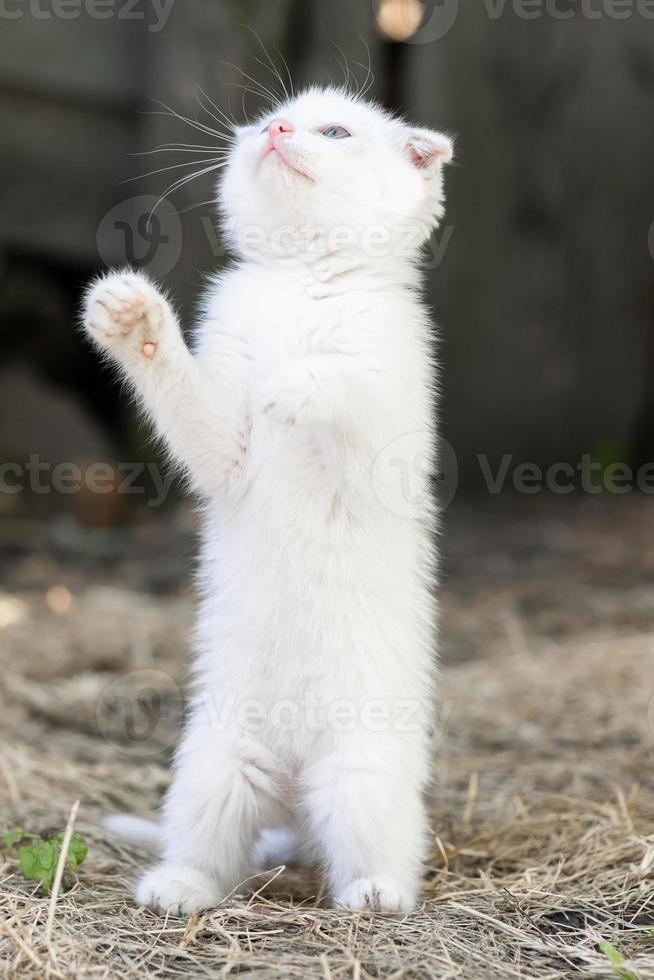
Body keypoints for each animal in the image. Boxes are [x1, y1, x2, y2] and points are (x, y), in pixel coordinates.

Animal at [89, 86, 454, 920]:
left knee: (374, 851)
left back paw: (375, 894)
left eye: (336, 130)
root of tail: (293, 801)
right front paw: (130, 316)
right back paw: (175, 887)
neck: (303, 279)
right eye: (266, 122)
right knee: (214, 849)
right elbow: (197, 409)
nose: (278, 130)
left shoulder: (391, 423)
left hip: (361, 775)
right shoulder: (224, 449)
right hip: (212, 764)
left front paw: (297, 383)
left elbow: (345, 385)